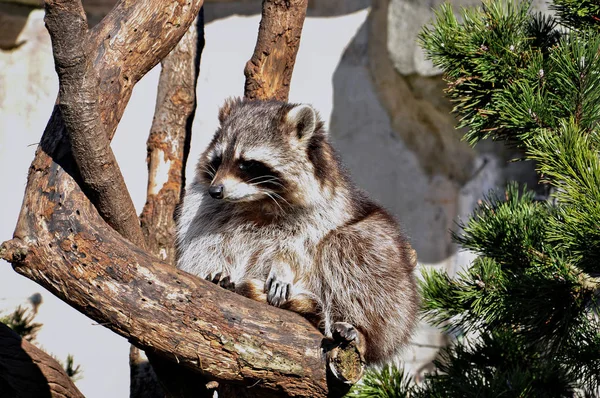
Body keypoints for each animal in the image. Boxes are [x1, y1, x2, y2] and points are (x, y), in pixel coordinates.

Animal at [176, 98, 420, 366]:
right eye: (218, 160)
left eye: (246, 164)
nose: (216, 190)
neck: (258, 201)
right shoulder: (205, 208)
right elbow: (205, 243)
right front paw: (216, 270)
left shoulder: (326, 210)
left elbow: (303, 246)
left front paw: (284, 266)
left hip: (394, 284)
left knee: (349, 247)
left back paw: (362, 332)